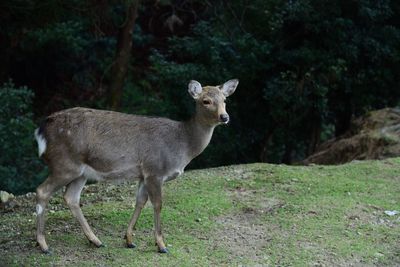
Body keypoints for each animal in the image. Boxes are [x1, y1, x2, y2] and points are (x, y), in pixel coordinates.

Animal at [33, 78, 238, 254]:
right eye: (206, 101)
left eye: (225, 99)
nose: (225, 117)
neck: (182, 146)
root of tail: (41, 130)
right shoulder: (155, 170)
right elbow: (158, 204)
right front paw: (161, 245)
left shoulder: (143, 174)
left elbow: (140, 202)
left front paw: (129, 240)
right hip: (65, 164)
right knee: (43, 190)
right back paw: (44, 245)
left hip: (81, 172)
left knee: (71, 197)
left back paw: (96, 240)